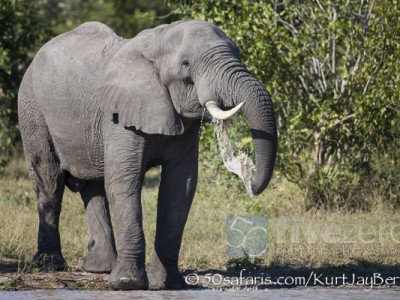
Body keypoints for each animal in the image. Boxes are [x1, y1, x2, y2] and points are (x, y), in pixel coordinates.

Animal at [18, 19, 278, 290]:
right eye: (186, 64)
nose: (251, 183)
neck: (155, 44)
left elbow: (181, 186)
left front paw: (169, 283)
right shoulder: (119, 115)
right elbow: (125, 180)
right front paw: (128, 283)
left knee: (93, 187)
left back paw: (100, 268)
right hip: (31, 108)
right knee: (49, 179)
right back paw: (50, 264)